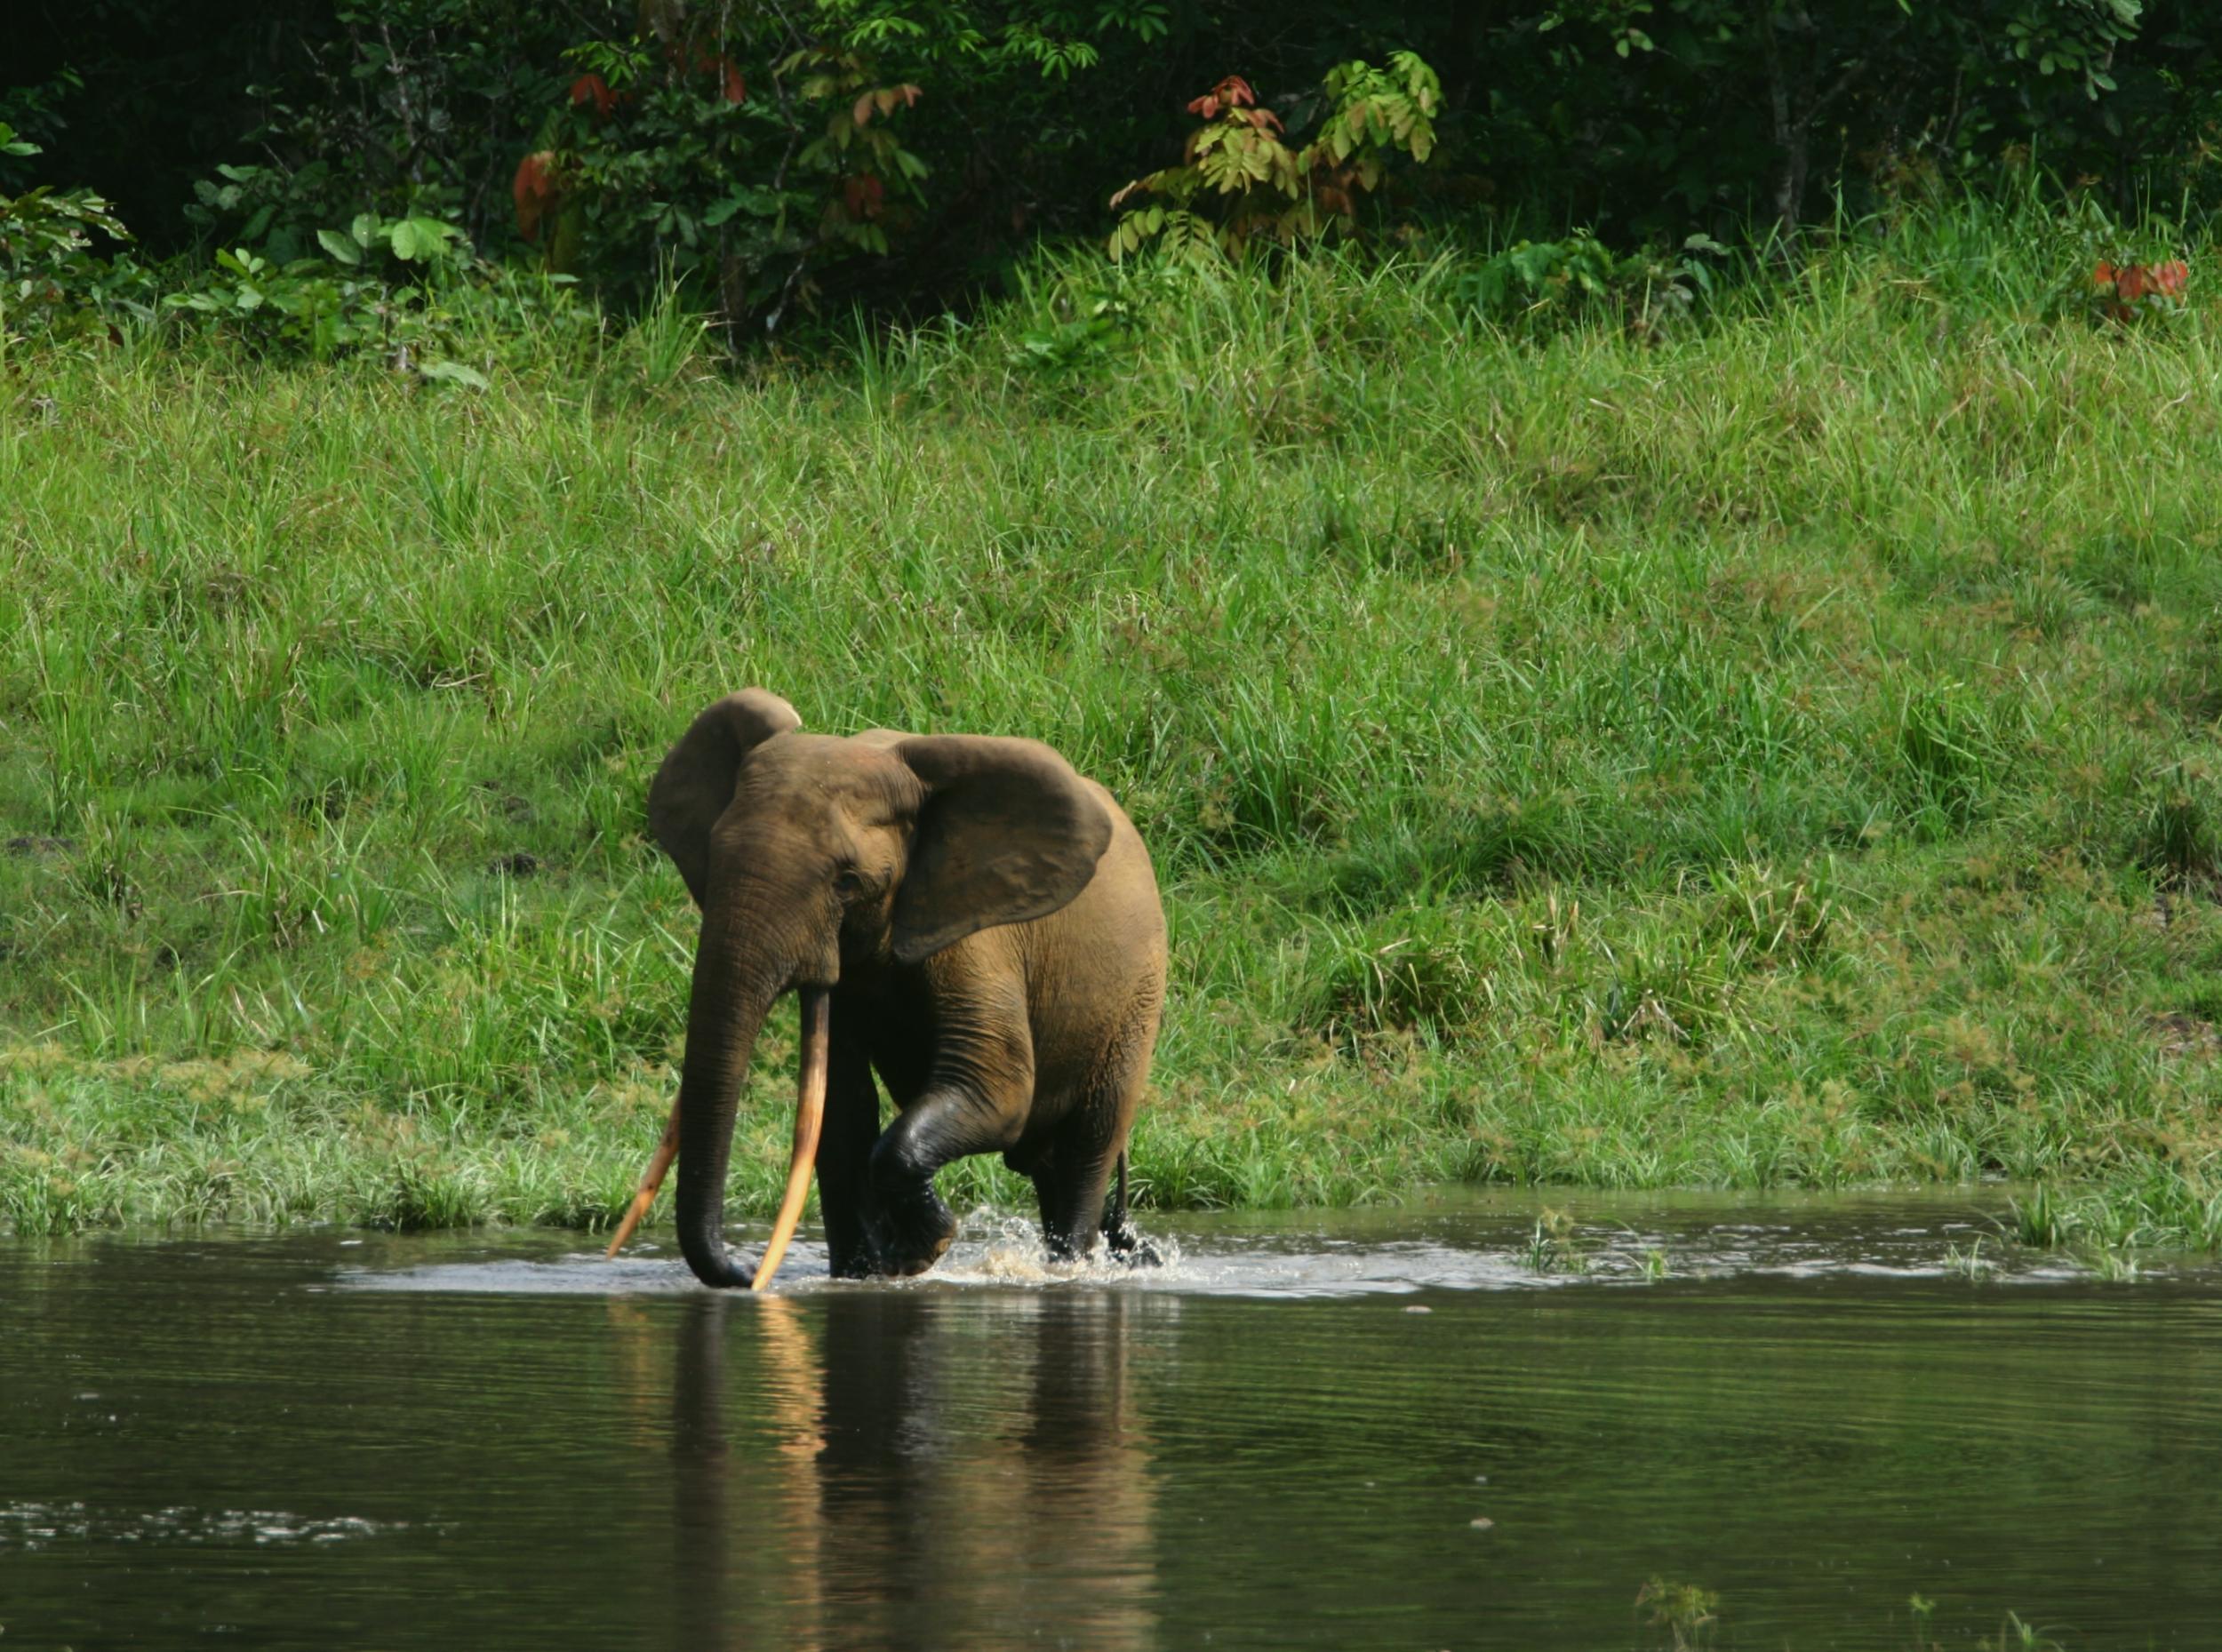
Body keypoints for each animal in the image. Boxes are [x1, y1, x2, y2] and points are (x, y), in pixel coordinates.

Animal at [609, 683, 1164, 1288]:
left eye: (847, 882)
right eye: (713, 858)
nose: (746, 1267)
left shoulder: (979, 937)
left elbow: (998, 1089)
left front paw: (918, 1251)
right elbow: (841, 1111)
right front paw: (864, 1274)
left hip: (1139, 993)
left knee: (1087, 1147)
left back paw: (1069, 1269)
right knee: (1046, 1164)